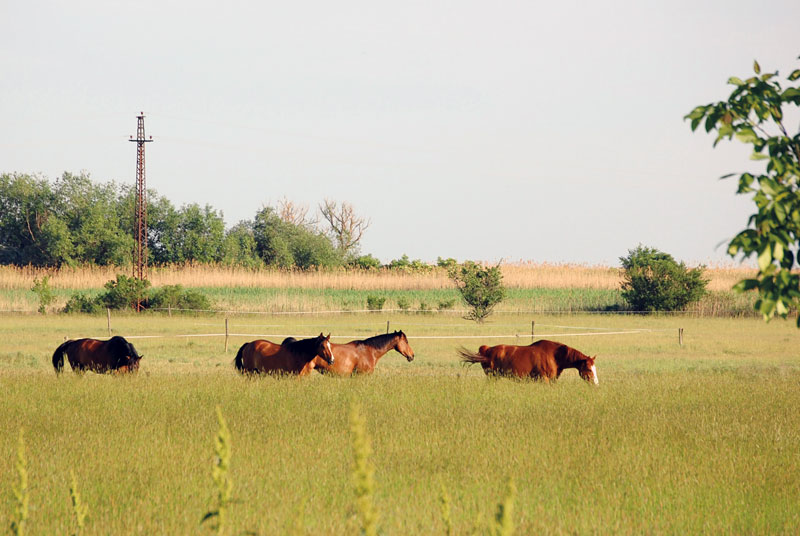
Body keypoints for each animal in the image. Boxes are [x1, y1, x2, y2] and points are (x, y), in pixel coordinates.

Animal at [458, 339, 598, 384]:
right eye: (589, 369)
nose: (596, 383)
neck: (554, 356)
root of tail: (486, 350)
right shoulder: (544, 380)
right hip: (493, 376)